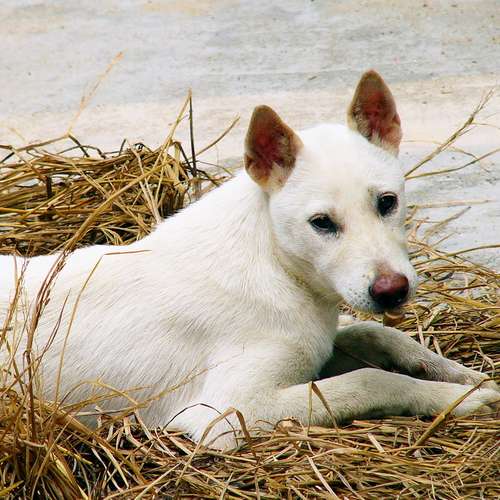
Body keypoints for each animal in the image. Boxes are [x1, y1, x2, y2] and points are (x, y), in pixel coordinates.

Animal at [1, 70, 498, 448]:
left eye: (388, 202)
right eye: (321, 223)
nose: (392, 291)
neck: (276, 264)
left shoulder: (318, 343)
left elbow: (376, 332)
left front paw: (459, 374)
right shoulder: (228, 412)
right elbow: (370, 381)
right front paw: (450, 399)